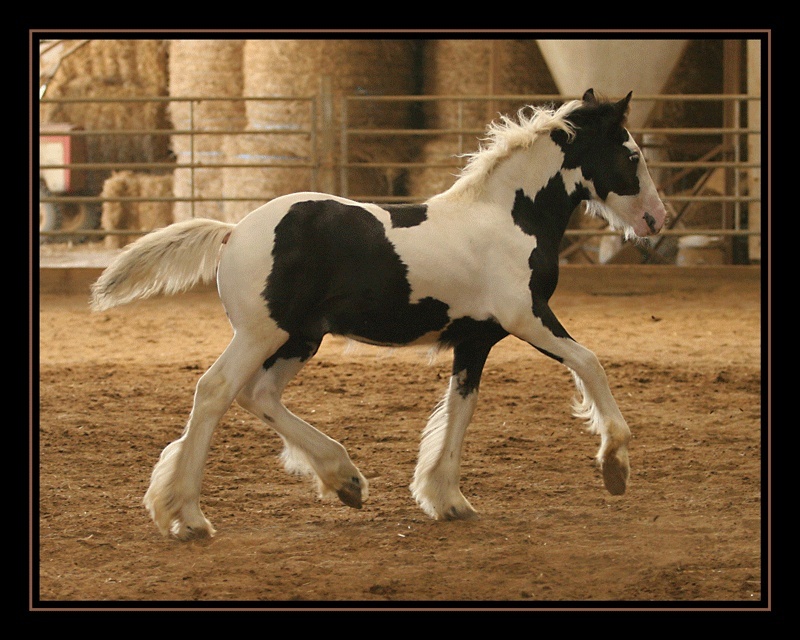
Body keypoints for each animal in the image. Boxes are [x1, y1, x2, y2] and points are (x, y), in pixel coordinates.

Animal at [92, 90, 668, 540]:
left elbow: (459, 412)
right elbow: (590, 362)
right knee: (215, 391)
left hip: (300, 338)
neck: (509, 216)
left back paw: (343, 478)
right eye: (632, 155)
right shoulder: (526, 316)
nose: (657, 220)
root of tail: (232, 231)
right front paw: (614, 465)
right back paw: (188, 517)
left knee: (259, 395)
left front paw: (446, 499)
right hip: (262, 333)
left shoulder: (475, 340)